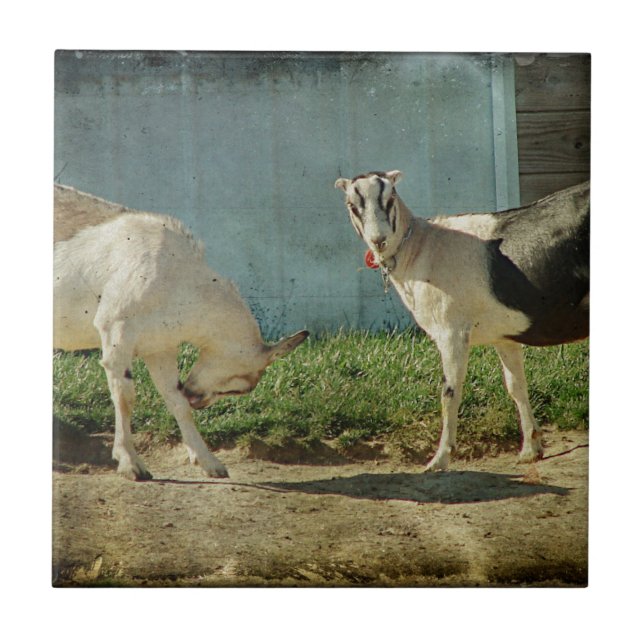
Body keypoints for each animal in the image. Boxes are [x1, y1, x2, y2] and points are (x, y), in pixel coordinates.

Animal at [54, 187, 308, 480]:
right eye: (241, 387)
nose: (199, 399)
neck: (175, 275)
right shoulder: (116, 328)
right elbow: (125, 396)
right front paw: (131, 464)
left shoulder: (159, 346)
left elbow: (175, 400)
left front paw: (210, 463)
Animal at [335, 171, 589, 471]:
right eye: (352, 205)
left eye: (391, 198)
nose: (379, 240)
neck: (421, 248)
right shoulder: (504, 334)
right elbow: (516, 386)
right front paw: (530, 448)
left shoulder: (451, 332)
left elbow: (449, 393)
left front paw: (440, 459)